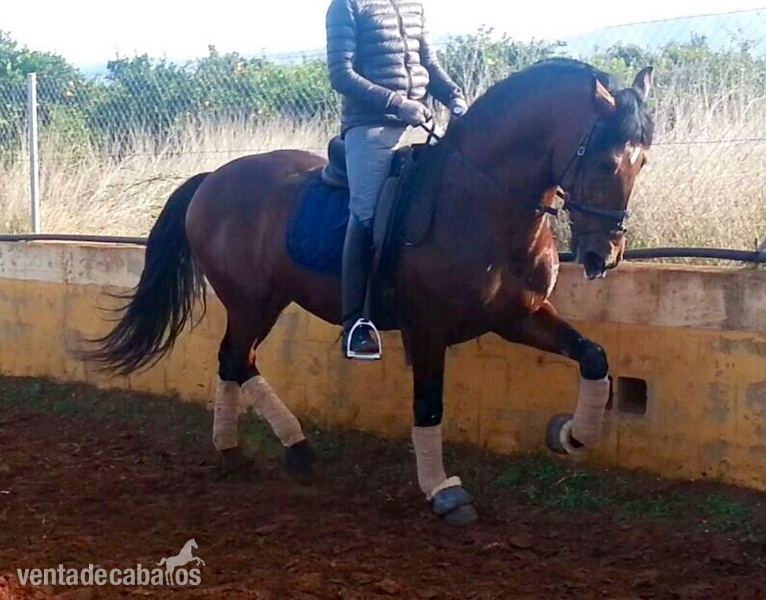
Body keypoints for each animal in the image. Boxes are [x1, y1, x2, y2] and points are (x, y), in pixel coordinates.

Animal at [77, 58, 655, 526]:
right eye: (605, 162)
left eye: (642, 162)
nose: (603, 256)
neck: (481, 200)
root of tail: (213, 177)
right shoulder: (427, 330)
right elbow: (428, 405)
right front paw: (443, 492)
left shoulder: (519, 316)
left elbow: (593, 356)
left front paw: (571, 435)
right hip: (249, 300)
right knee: (235, 359)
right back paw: (263, 450)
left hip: (264, 301)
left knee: (237, 362)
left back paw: (270, 450)